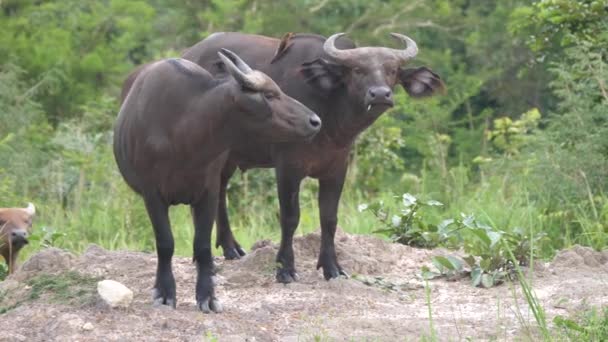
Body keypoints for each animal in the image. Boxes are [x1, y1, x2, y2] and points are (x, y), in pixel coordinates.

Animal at [114, 48, 324, 312]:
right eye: (269, 95)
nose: (315, 121)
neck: (186, 134)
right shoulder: (152, 194)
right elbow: (165, 242)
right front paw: (164, 292)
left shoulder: (209, 190)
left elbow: (202, 244)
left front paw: (207, 295)